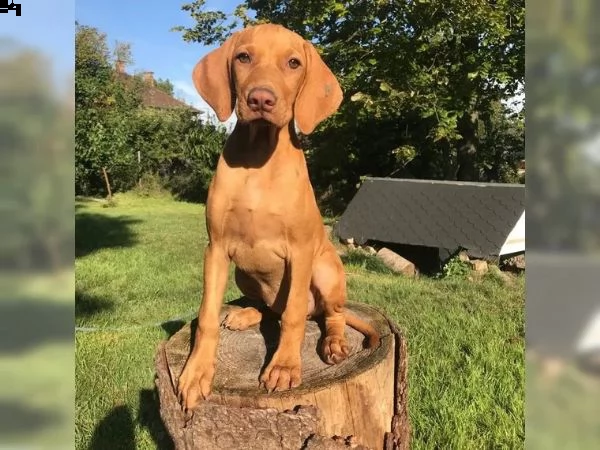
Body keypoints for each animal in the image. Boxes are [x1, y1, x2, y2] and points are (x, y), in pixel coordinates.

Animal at [176, 23, 380, 412]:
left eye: (293, 63)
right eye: (243, 57)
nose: (260, 99)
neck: (259, 157)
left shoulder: (299, 253)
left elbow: (293, 315)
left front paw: (284, 366)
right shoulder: (216, 248)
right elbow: (207, 316)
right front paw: (196, 372)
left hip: (325, 271)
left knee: (329, 313)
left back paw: (333, 342)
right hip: (243, 272)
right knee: (269, 307)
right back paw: (245, 314)